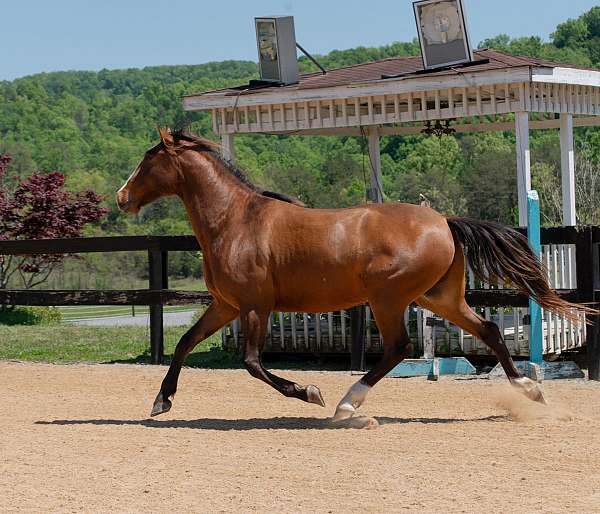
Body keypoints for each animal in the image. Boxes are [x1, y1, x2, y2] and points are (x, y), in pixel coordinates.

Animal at [118, 128, 592, 420]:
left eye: (147, 160)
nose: (122, 197)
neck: (234, 221)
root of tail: (445, 222)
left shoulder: (255, 306)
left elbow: (252, 363)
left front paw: (309, 392)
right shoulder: (225, 305)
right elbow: (184, 342)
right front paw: (162, 400)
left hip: (389, 299)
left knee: (399, 348)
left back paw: (347, 404)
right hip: (438, 298)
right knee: (489, 330)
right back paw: (530, 390)